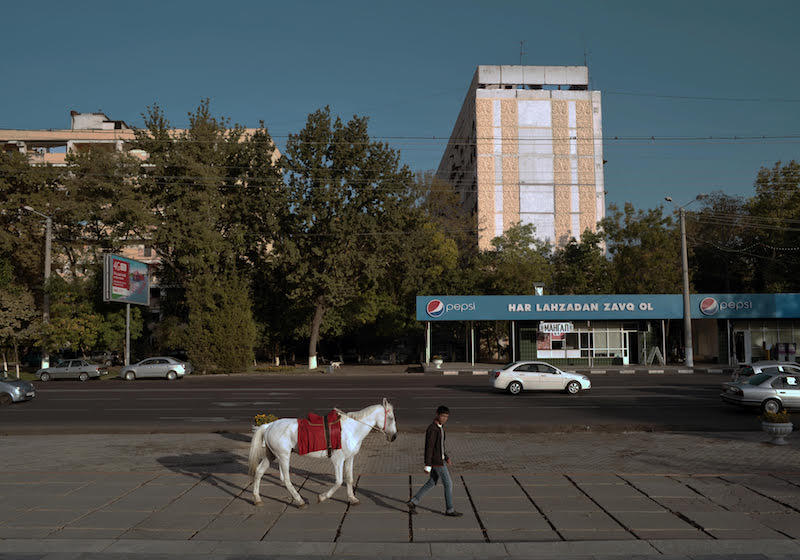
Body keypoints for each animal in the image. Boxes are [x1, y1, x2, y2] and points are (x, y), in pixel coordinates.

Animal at [247, 398, 396, 508]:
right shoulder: (337, 459)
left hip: (270, 455)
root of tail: (269, 425)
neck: (350, 429)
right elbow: (339, 481)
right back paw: (300, 501)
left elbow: (349, 478)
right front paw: (322, 497)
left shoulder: (350, 458)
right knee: (286, 480)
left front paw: (352, 498)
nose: (394, 436)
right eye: (391, 418)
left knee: (259, 472)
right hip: (283, 457)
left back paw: (257, 499)